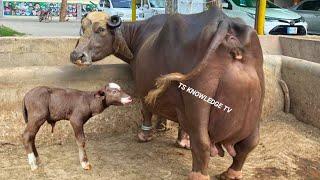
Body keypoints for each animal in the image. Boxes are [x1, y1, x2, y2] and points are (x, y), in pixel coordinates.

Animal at [70, 7, 264, 180]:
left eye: (101, 29)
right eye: (83, 28)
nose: (76, 55)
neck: (140, 37)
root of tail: (224, 23)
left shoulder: (144, 88)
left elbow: (146, 109)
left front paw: (145, 135)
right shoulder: (179, 103)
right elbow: (182, 124)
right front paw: (182, 141)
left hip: (197, 100)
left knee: (202, 142)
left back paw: (198, 175)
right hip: (257, 99)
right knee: (249, 144)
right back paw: (231, 173)